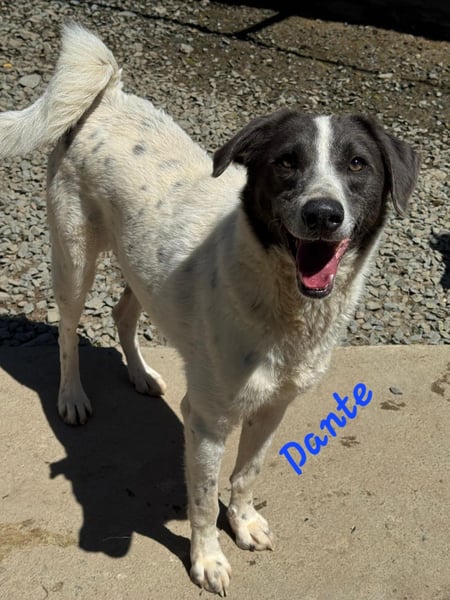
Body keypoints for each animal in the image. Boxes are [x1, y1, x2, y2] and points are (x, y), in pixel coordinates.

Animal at [0, 25, 419, 596]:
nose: (323, 214)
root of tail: (108, 99)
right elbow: (201, 500)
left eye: (358, 165)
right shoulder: (206, 420)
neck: (286, 307)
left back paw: (140, 374)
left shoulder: (273, 408)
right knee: (67, 332)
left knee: (122, 313)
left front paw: (242, 524)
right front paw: (207, 559)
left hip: (139, 266)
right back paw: (72, 396)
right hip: (74, 258)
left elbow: (246, 476)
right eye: (286, 162)